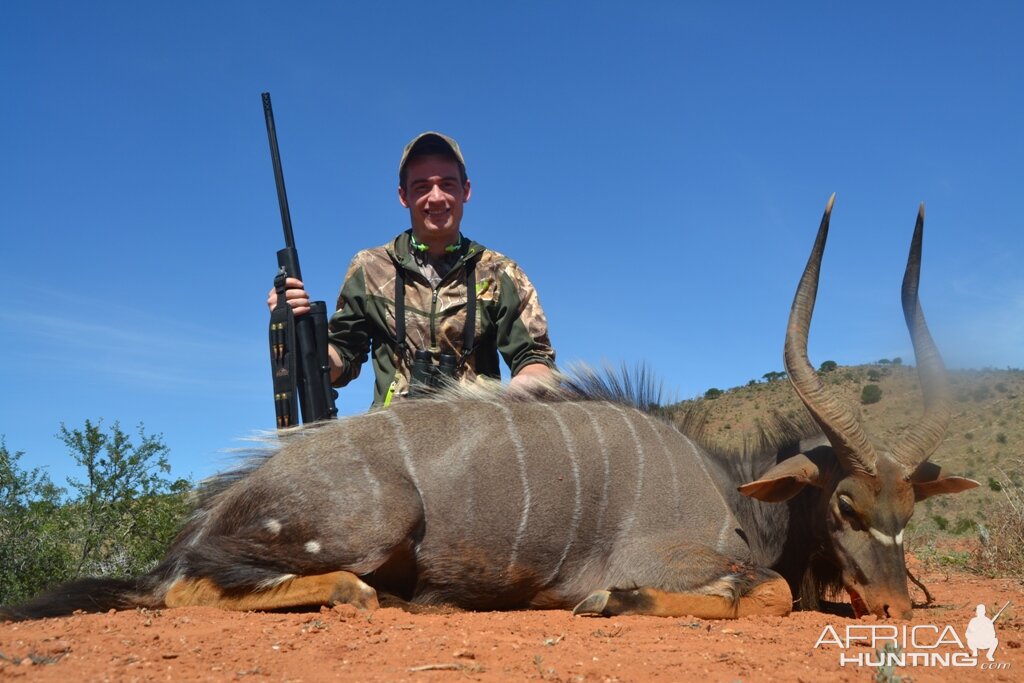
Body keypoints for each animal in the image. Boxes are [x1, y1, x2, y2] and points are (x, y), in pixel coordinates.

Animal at [0, 194, 974, 622]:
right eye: (844, 504)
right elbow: (757, 594)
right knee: (198, 591)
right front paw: (610, 601)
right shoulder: (673, 558)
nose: (900, 608)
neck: (735, 496)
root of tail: (208, 511)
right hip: (368, 529)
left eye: (908, 508)